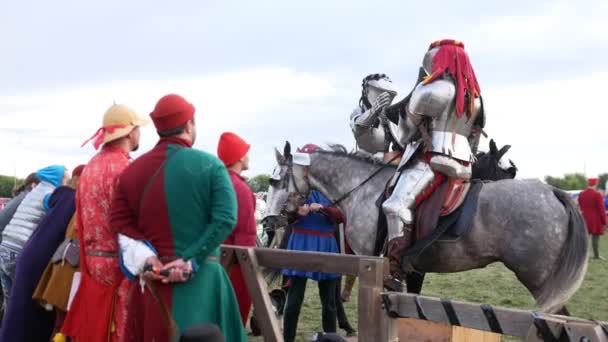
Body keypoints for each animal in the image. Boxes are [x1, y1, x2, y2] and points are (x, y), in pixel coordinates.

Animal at [266, 141, 588, 312]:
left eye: (277, 180)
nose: (269, 221)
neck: (363, 190)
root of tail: (553, 192)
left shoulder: (375, 263)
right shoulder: (411, 269)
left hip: (538, 279)